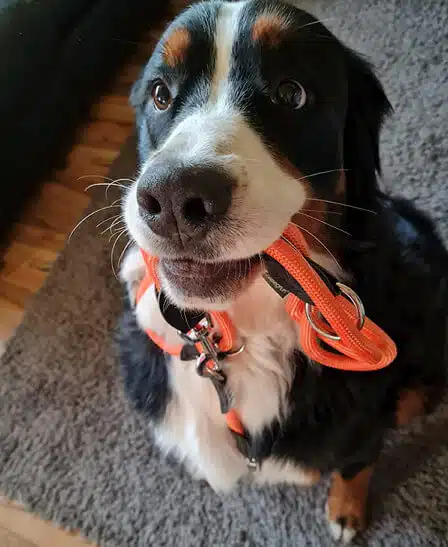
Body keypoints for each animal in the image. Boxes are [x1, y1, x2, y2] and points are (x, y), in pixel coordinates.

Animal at [116, 1, 448, 544]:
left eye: (292, 93)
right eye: (160, 94)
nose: (173, 196)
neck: (246, 335)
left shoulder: (367, 418)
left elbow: (357, 463)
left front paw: (346, 512)